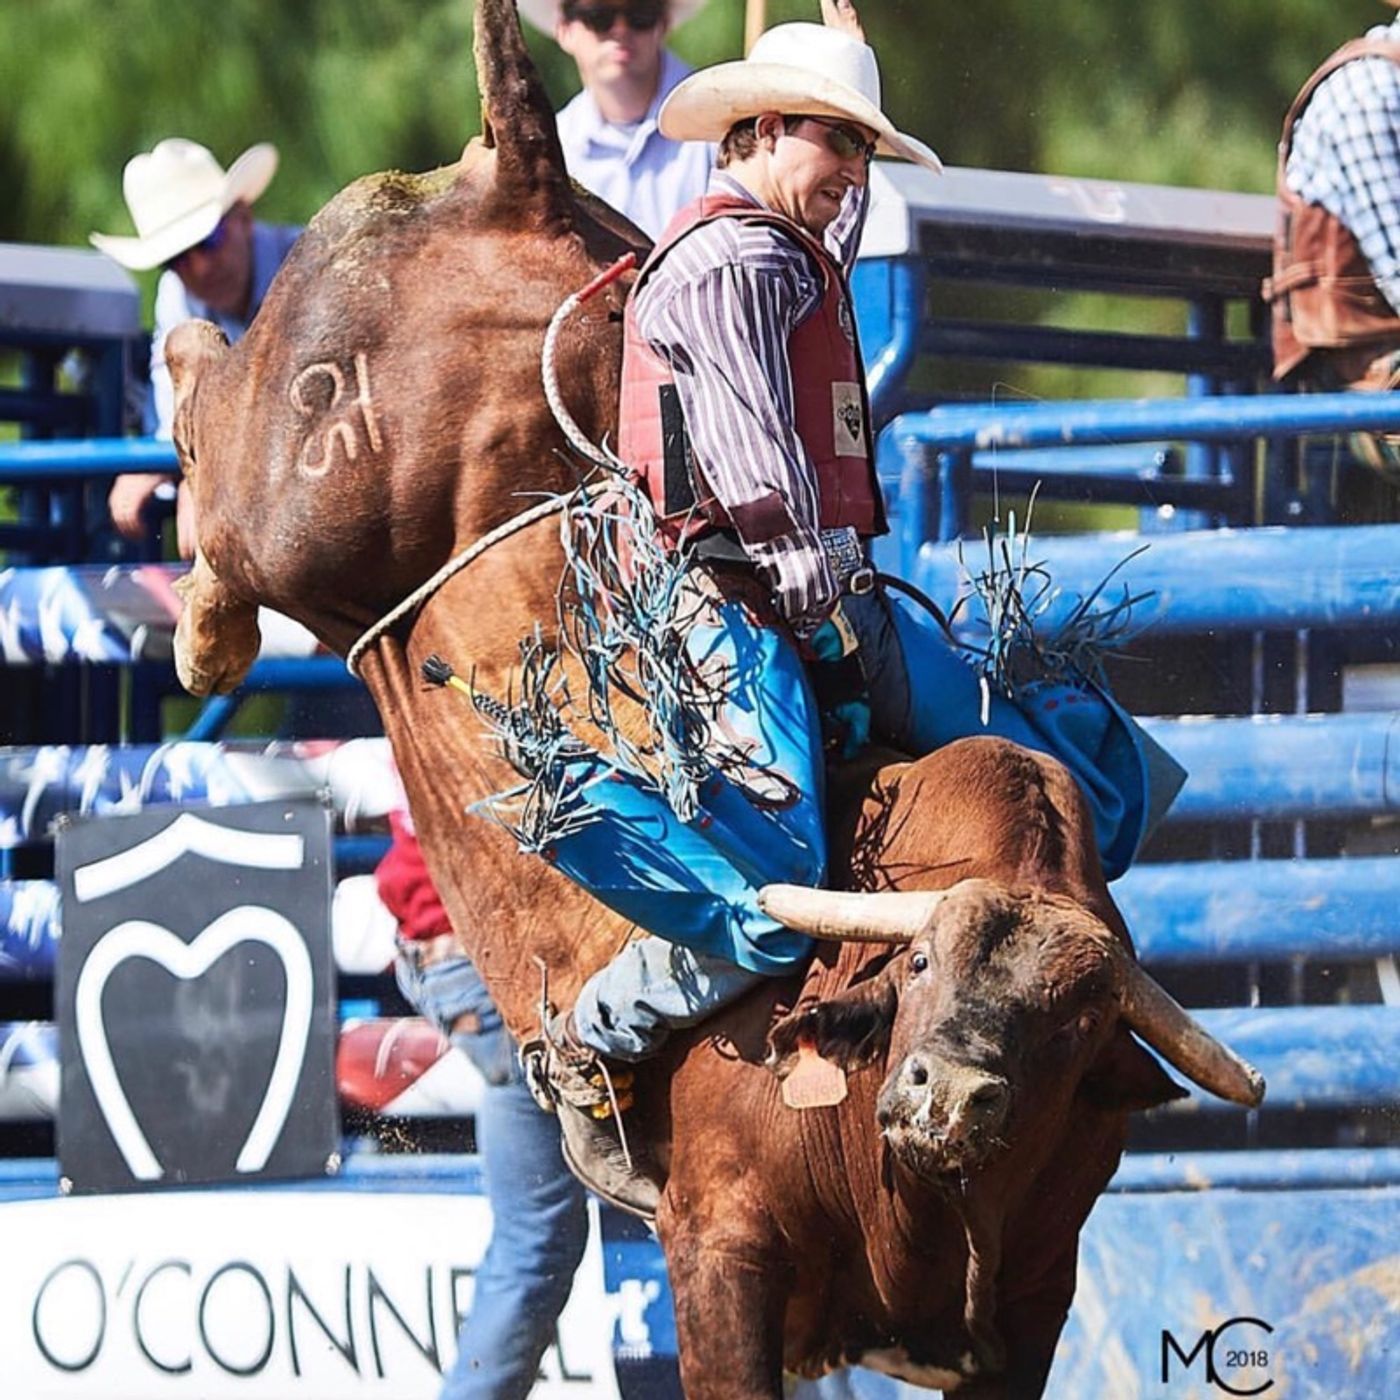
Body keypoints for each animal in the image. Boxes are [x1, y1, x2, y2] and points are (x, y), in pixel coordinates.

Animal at [163, 2, 1260, 1400]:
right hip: (301, 483)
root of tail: (520, 178)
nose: (944, 1093)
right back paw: (198, 608)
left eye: (1070, 1021)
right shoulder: (720, 1253)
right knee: (217, 437)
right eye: (913, 958)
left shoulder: (1028, 1303)